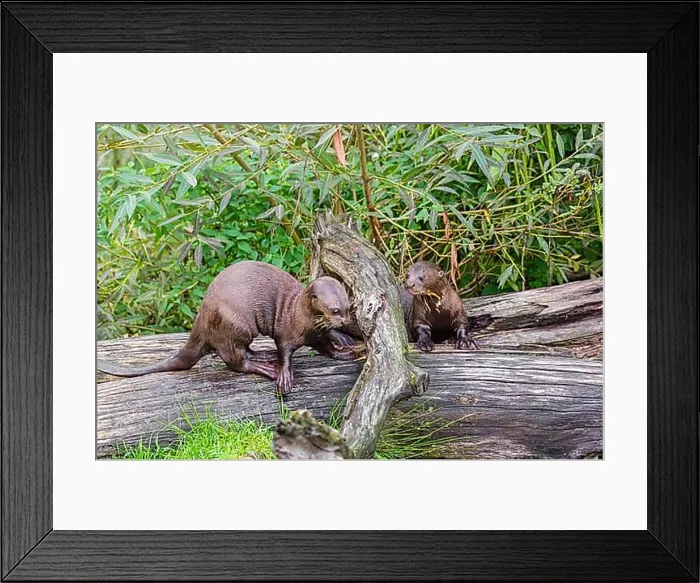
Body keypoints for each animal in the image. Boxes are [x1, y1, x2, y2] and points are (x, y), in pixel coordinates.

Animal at [97, 260, 361, 395]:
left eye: (348, 307)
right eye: (334, 310)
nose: (344, 321)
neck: (302, 317)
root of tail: (202, 319)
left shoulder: (318, 334)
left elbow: (327, 347)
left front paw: (345, 352)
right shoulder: (288, 332)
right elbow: (284, 351)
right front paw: (284, 375)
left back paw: (261, 356)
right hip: (234, 324)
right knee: (234, 360)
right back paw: (265, 367)